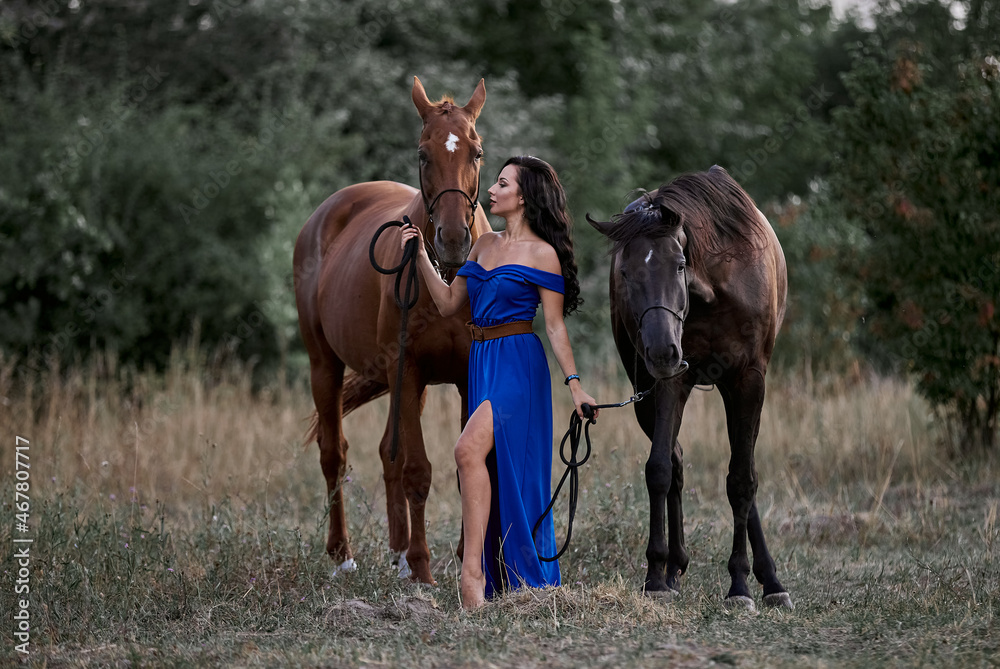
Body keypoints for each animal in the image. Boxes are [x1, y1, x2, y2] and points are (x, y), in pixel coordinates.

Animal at [292, 75, 490, 580]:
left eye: (476, 152)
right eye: (423, 154)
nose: (453, 238)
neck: (446, 277)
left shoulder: (464, 375)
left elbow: (464, 462)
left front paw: (467, 557)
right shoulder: (409, 368)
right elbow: (417, 469)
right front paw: (422, 566)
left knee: (386, 452)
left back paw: (398, 551)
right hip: (326, 366)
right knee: (335, 452)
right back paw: (344, 554)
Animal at [588, 164, 792, 608]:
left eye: (680, 264)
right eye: (625, 272)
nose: (661, 350)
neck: (715, 289)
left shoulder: (748, 380)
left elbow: (741, 480)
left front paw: (740, 584)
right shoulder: (669, 382)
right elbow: (660, 469)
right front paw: (655, 575)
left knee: (744, 473)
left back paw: (770, 580)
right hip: (646, 390)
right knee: (677, 460)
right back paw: (674, 567)